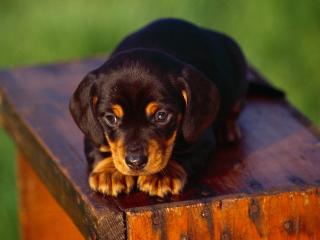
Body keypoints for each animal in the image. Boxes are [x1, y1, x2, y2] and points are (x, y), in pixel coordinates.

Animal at [69, 18, 250, 197]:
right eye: (111, 118)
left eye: (161, 116)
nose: (136, 162)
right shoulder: (92, 131)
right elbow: (98, 146)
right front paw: (110, 172)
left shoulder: (201, 138)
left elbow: (185, 153)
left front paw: (163, 175)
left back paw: (227, 129)